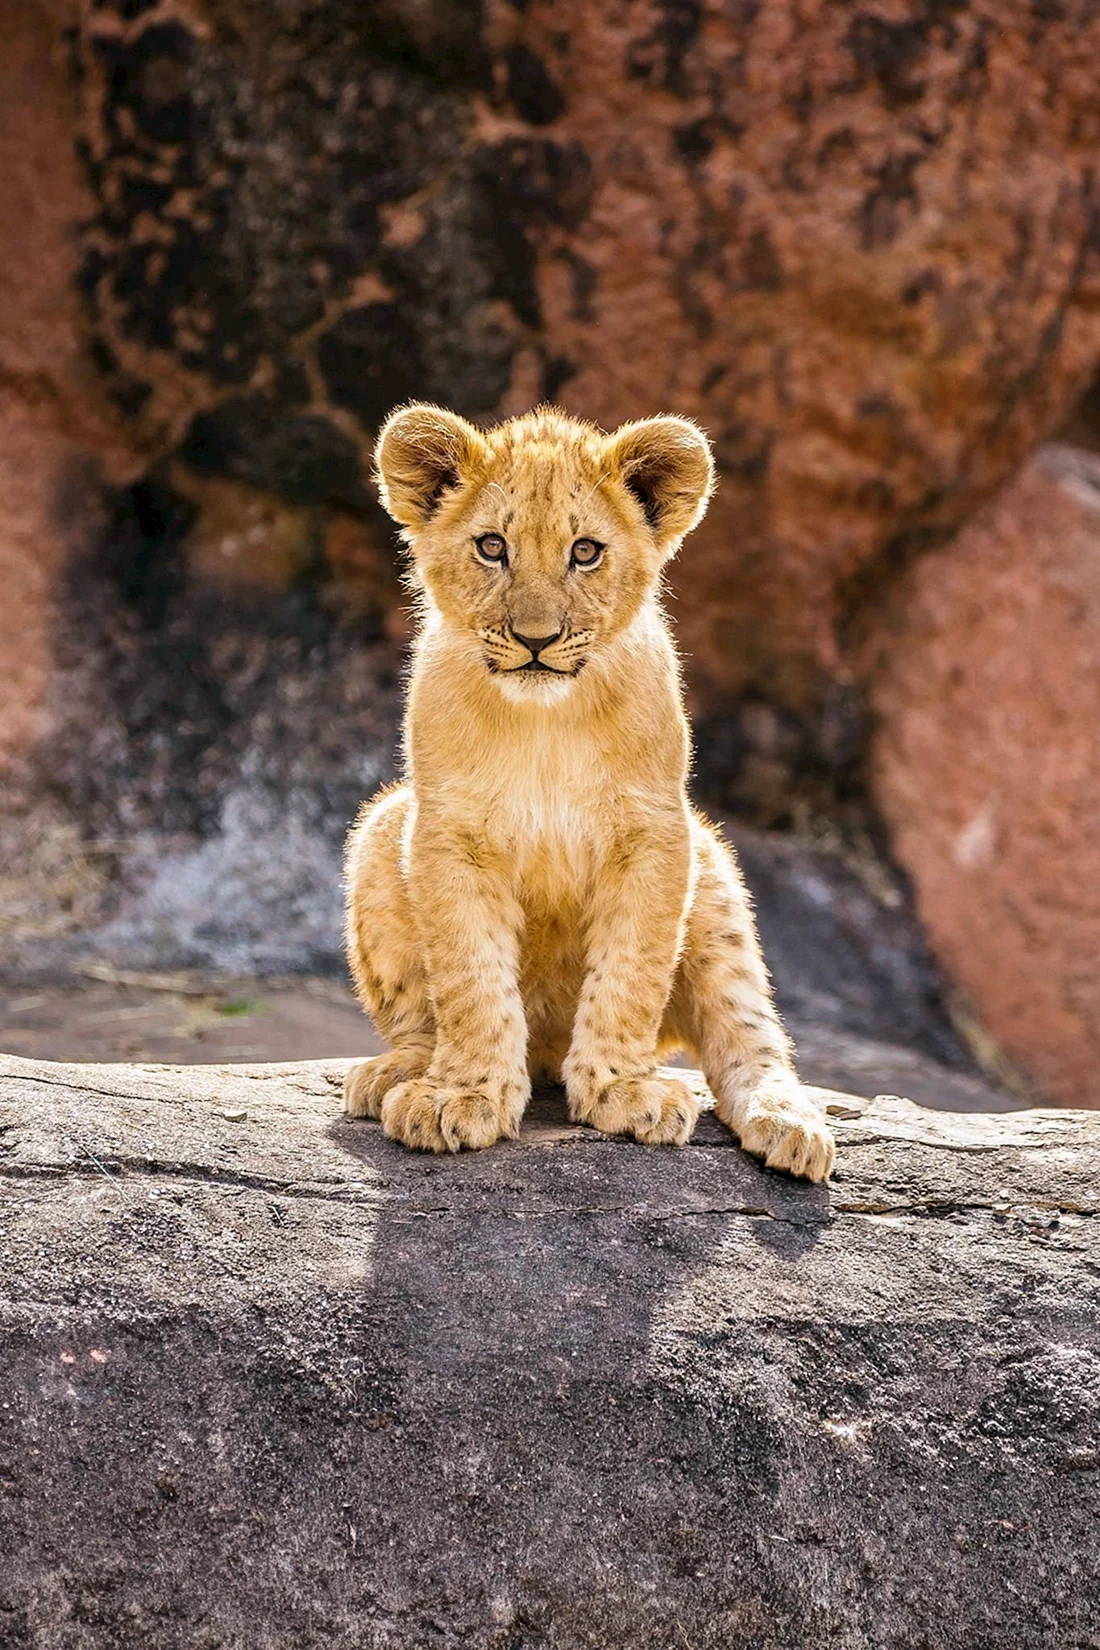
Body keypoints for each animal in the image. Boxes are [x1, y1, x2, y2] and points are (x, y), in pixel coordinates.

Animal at [342, 403, 836, 1181]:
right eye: (492, 547)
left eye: (585, 552)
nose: (536, 639)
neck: (548, 721)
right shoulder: (447, 834)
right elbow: (470, 978)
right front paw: (462, 1095)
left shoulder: (658, 833)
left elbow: (631, 972)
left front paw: (621, 1089)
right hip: (383, 828)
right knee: (424, 1018)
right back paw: (399, 1073)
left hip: (715, 872)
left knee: (747, 1031)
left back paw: (790, 1123)